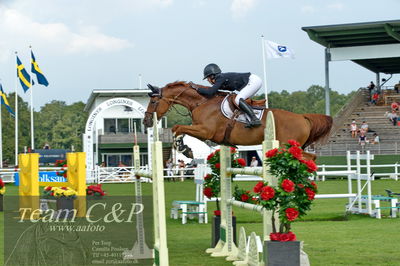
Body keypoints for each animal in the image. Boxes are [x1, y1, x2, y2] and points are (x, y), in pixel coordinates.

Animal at [142, 81, 332, 160]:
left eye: (153, 102)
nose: (146, 122)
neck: (202, 102)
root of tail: (302, 117)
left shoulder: (205, 130)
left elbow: (178, 127)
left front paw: (184, 148)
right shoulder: (202, 130)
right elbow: (180, 129)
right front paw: (186, 148)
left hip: (287, 146)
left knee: (309, 158)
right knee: (311, 157)